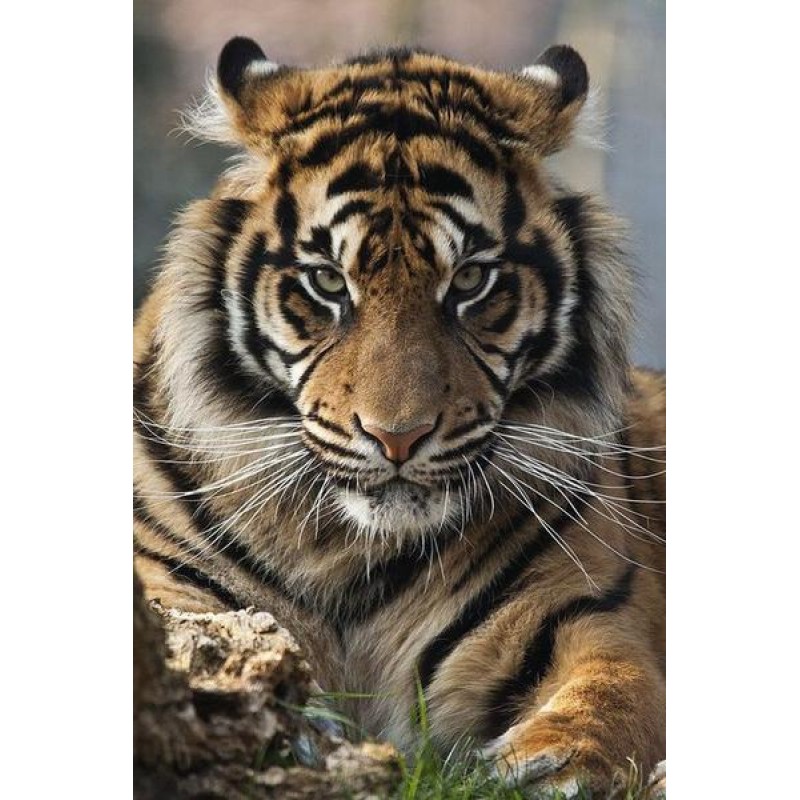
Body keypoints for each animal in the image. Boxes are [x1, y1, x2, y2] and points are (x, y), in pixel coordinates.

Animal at [133, 37, 666, 797]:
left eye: (470, 280)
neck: (347, 550)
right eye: (327, 282)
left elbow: (614, 693)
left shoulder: (582, 612)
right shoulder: (170, 591)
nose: (397, 437)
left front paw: (547, 766)